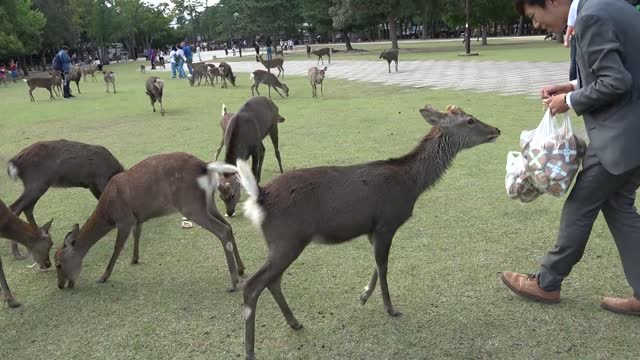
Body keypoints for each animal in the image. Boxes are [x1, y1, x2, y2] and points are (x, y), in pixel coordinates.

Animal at [55, 153, 246, 292]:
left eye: (58, 264)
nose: (61, 285)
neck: (107, 214)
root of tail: (205, 166)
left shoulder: (124, 219)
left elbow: (117, 247)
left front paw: (103, 277)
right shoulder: (137, 219)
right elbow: (137, 236)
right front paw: (134, 259)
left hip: (191, 205)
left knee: (222, 230)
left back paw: (233, 283)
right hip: (209, 203)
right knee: (229, 226)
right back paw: (242, 269)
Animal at [234, 104, 500, 360]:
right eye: (470, 120)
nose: (496, 129)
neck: (412, 184)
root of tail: (259, 197)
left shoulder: (373, 229)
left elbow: (375, 263)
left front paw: (363, 295)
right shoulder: (387, 222)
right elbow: (383, 265)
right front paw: (390, 308)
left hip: (282, 243)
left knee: (273, 280)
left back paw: (294, 322)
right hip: (287, 238)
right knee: (253, 284)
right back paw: (250, 350)